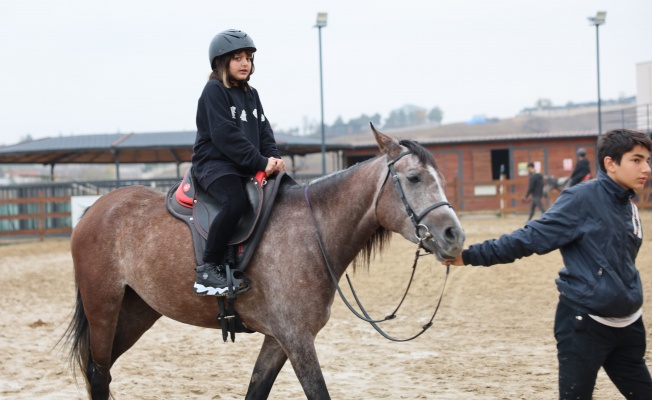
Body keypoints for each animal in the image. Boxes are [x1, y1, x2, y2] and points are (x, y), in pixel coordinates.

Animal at [63, 127, 466, 400]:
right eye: (413, 178)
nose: (454, 236)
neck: (312, 232)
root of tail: (95, 209)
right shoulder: (297, 339)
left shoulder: (278, 339)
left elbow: (256, 390)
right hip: (103, 306)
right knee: (98, 374)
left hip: (137, 310)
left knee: (102, 372)